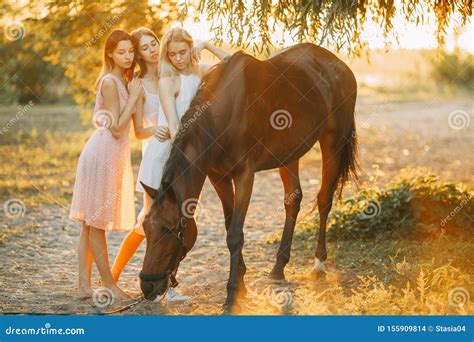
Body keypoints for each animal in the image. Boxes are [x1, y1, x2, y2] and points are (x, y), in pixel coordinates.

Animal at [139, 42, 358, 312]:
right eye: (146, 229)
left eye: (169, 230)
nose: (147, 286)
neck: (223, 115)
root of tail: (339, 65)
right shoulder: (218, 177)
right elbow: (228, 225)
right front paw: (242, 280)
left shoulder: (244, 175)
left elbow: (235, 234)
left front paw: (233, 294)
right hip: (290, 153)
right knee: (293, 200)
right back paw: (278, 268)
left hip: (333, 142)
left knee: (324, 199)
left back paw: (318, 264)